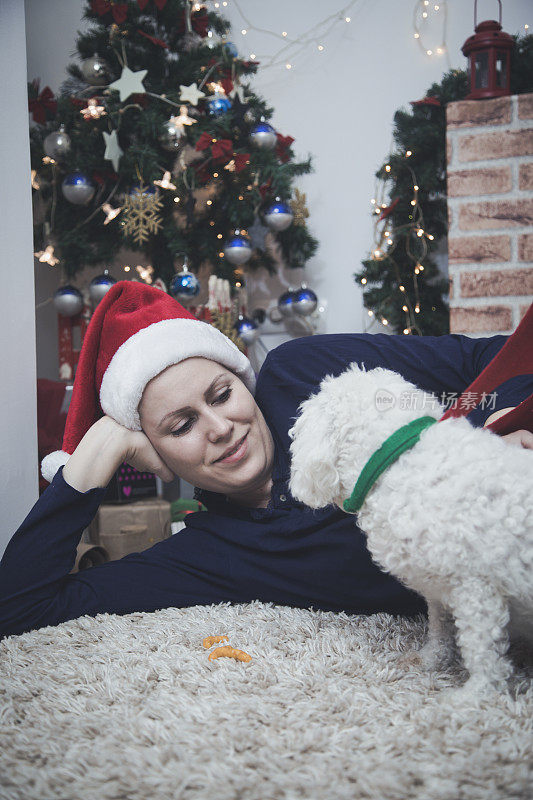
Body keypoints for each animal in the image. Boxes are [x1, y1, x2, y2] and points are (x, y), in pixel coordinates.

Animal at [288, 364, 532, 692]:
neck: (395, 458)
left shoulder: (477, 589)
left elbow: (482, 651)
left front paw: (476, 695)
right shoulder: (438, 588)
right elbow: (440, 628)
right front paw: (431, 659)